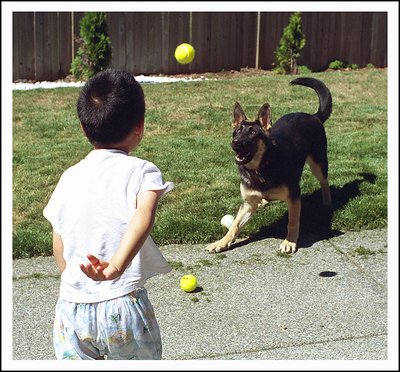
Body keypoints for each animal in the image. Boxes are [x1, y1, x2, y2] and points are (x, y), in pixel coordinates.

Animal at [206, 77, 332, 254]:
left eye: (253, 133)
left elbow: (293, 222)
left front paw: (289, 241)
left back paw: (327, 202)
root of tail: (313, 116)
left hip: (318, 163)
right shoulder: (247, 204)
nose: (235, 143)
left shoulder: (294, 197)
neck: (260, 168)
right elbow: (235, 226)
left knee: (324, 181)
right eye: (237, 131)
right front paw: (222, 242)